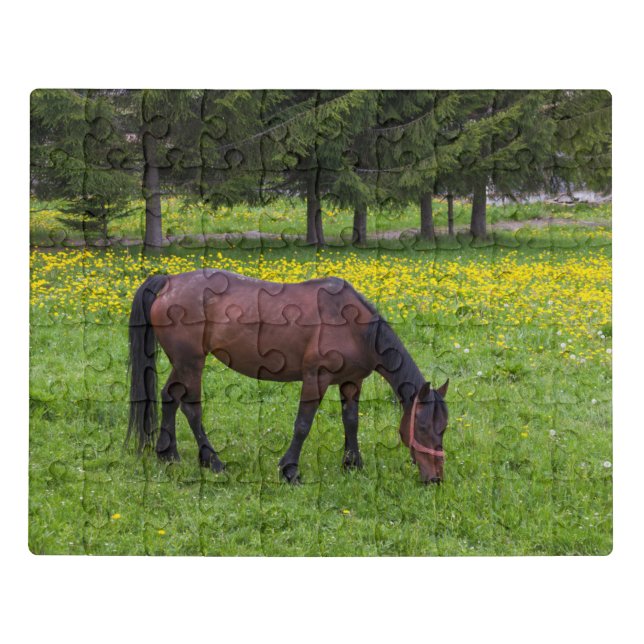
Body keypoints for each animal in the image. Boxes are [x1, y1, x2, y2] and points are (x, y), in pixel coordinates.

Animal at [127, 269, 449, 484]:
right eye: (422, 427)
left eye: (443, 428)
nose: (436, 478)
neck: (352, 324)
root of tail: (169, 281)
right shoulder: (316, 379)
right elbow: (303, 425)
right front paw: (289, 469)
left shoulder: (351, 383)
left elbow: (351, 422)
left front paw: (352, 464)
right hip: (191, 363)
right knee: (191, 407)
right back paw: (213, 461)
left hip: (183, 363)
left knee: (170, 396)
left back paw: (168, 454)